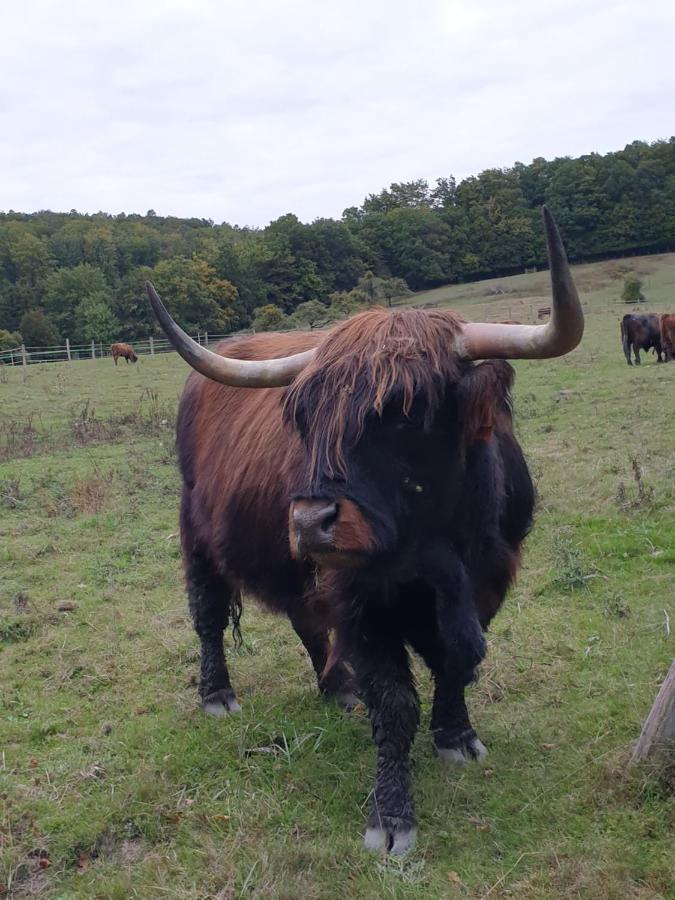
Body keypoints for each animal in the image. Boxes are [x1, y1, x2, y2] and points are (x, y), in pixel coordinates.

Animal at [148, 207, 588, 856]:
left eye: (406, 410)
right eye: (303, 416)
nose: (309, 522)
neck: (438, 548)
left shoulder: (489, 578)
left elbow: (458, 662)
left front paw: (456, 735)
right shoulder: (362, 598)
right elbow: (396, 700)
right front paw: (392, 816)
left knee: (305, 619)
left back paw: (337, 686)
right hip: (198, 534)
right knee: (207, 615)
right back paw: (218, 695)